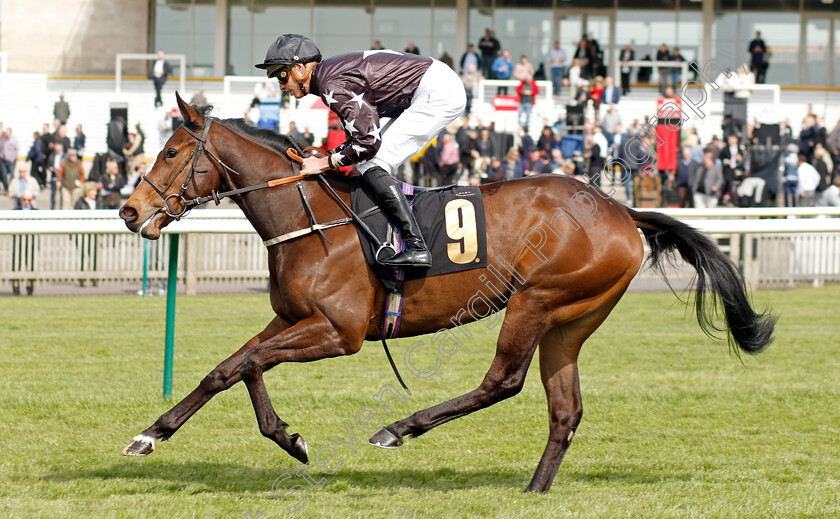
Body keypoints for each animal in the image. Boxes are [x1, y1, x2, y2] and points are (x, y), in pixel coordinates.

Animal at [116, 95, 776, 494]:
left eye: (171, 152)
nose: (129, 212)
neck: (310, 220)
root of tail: (621, 211)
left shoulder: (340, 333)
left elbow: (250, 362)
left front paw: (291, 440)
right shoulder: (292, 320)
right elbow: (227, 369)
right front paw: (152, 435)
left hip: (535, 301)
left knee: (502, 382)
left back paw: (397, 429)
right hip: (570, 321)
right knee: (565, 410)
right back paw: (535, 490)